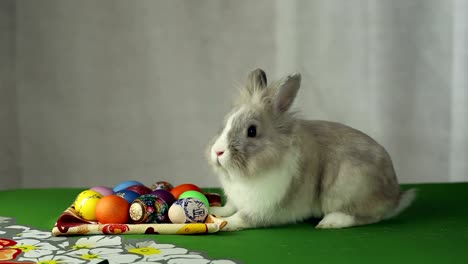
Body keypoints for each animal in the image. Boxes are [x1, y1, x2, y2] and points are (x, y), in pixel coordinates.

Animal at [207, 68, 414, 231]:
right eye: (225, 123)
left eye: (252, 131)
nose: (217, 152)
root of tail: (395, 196)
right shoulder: (237, 199)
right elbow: (230, 207)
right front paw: (215, 210)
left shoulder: (263, 207)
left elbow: (241, 217)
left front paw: (225, 223)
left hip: (348, 185)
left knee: (366, 216)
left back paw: (331, 222)